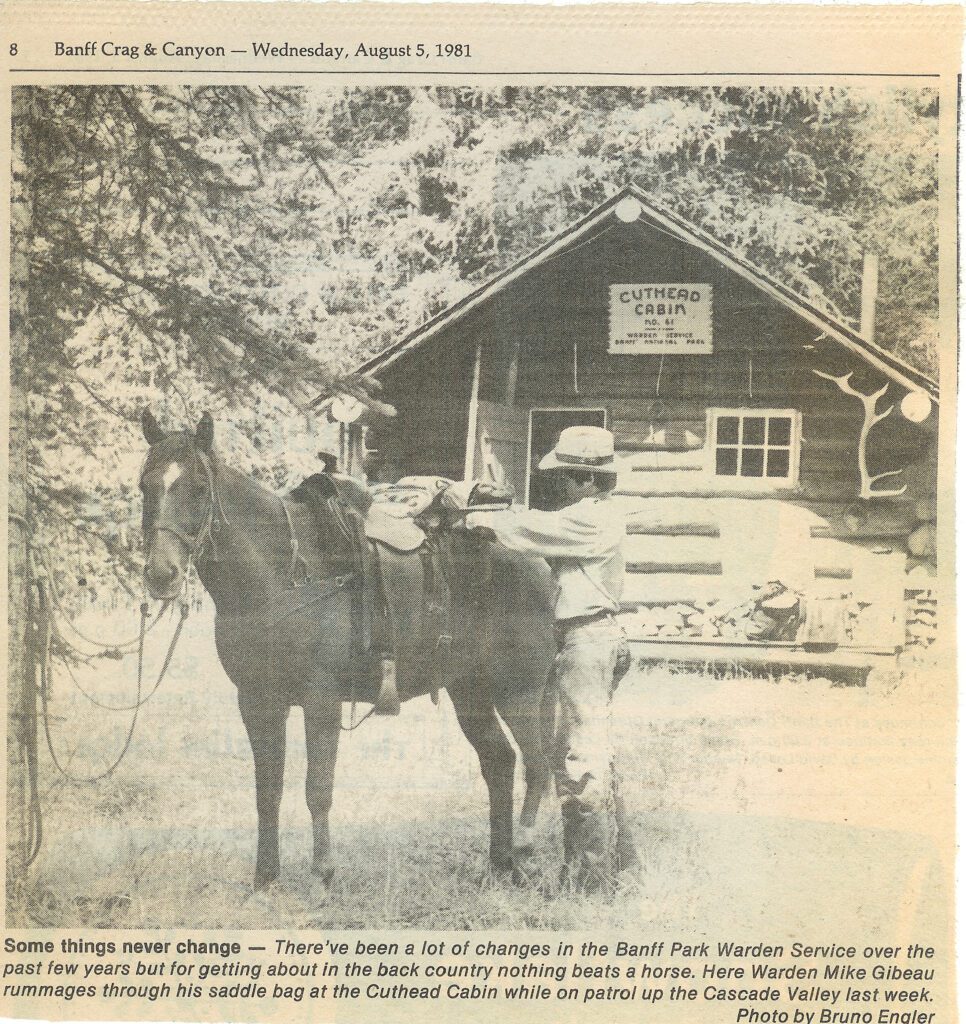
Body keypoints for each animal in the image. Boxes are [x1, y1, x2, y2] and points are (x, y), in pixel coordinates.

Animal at [139, 411, 557, 892]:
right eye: (145, 486)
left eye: (199, 488)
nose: (162, 574)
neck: (283, 575)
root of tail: (538, 560)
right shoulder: (258, 702)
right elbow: (268, 791)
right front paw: (266, 877)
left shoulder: (320, 701)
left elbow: (317, 790)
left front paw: (323, 873)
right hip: (471, 692)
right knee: (500, 762)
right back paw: (501, 863)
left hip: (519, 692)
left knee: (537, 766)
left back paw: (524, 852)